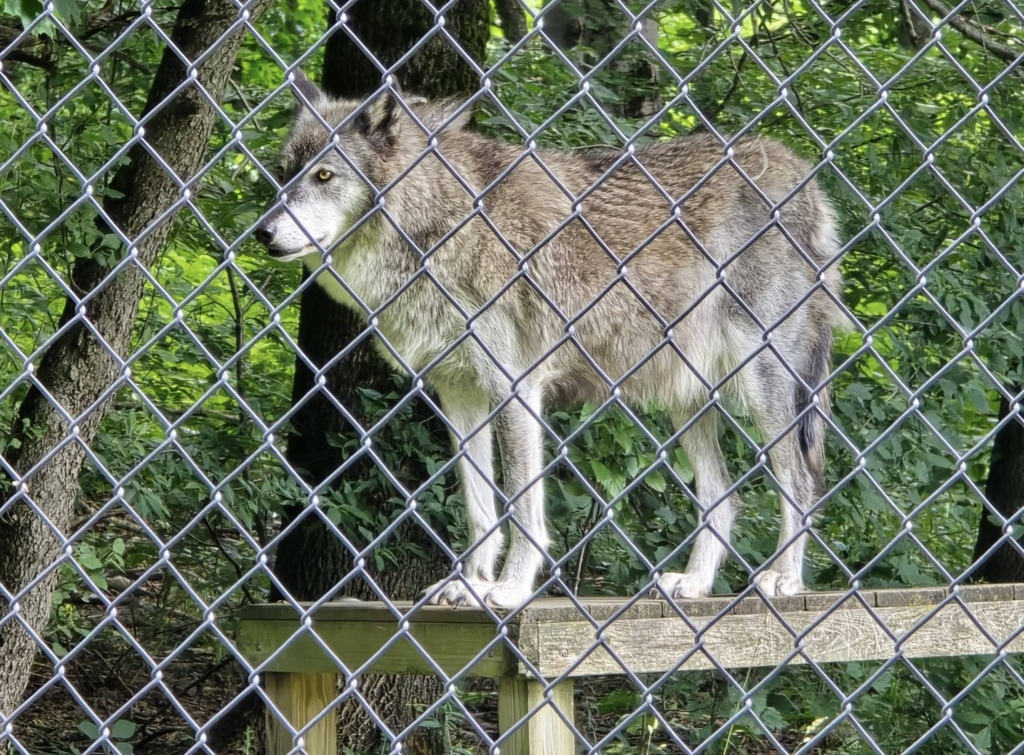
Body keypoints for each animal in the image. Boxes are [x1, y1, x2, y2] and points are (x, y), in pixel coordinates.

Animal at [255, 71, 846, 609]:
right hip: (687, 400)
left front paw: (510, 589)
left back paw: (783, 579)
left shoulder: (516, 390)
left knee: (800, 481)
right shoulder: (458, 393)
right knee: (723, 496)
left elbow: (522, 508)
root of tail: (804, 173)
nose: (263, 232)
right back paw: (696, 584)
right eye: (284, 174)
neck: (442, 226)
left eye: (325, 174)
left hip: (765, 387)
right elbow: (480, 508)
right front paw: (469, 584)